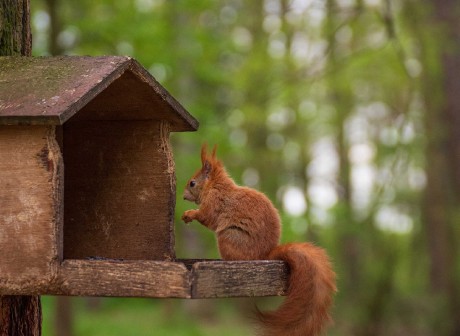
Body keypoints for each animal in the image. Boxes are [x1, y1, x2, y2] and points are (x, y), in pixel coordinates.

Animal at [181, 144, 336, 336]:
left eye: (192, 183)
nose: (183, 196)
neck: (215, 186)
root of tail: (265, 256)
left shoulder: (214, 202)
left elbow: (206, 217)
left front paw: (189, 214)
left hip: (229, 237)